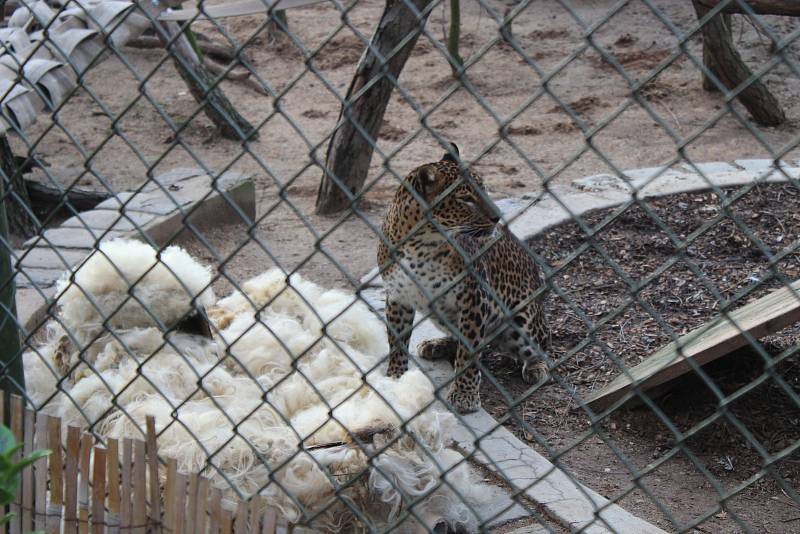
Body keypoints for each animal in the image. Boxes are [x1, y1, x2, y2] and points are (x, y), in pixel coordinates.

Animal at [376, 144, 552, 416]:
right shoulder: (398, 296)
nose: (497, 216)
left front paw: (465, 396)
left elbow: (469, 353)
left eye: (484, 188)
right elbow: (396, 342)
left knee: (542, 343)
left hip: (522, 322)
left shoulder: (474, 297)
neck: (420, 244)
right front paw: (396, 378)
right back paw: (436, 345)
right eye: (466, 199)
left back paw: (536, 367)